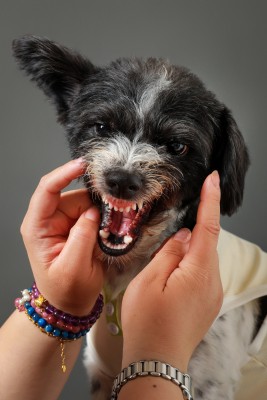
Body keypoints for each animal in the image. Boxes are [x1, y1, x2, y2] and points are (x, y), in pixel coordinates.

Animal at [12, 36, 262, 398]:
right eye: (102, 126)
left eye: (177, 146)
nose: (121, 179)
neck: (128, 270)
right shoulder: (102, 375)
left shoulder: (209, 384)